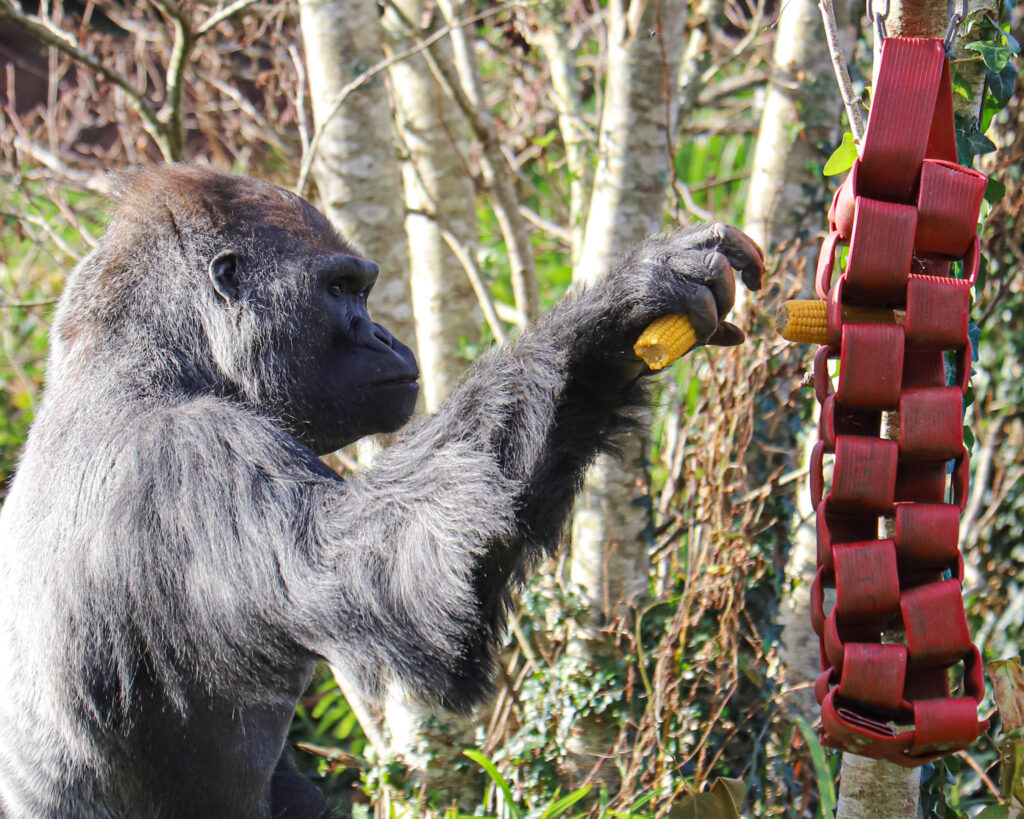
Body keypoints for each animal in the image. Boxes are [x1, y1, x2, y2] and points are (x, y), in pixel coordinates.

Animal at [0, 164, 762, 818]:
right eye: (341, 290)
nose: (385, 336)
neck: (144, 359)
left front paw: (611, 346)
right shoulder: (196, 456)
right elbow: (398, 568)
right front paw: (619, 310)